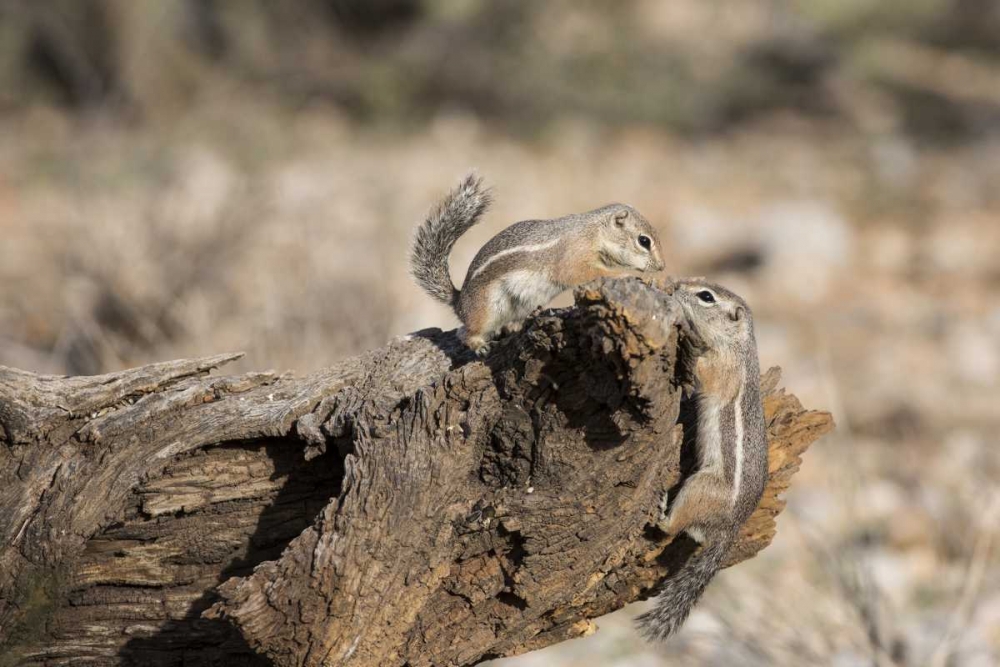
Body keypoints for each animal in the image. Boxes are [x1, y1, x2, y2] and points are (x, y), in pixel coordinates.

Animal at [410, 173, 665, 354]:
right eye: (644, 241)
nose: (662, 267)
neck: (594, 232)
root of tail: (459, 301)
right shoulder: (573, 256)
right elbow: (583, 273)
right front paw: (624, 275)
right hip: (486, 308)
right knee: (464, 332)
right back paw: (479, 345)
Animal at [636, 279, 769, 642]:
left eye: (706, 297)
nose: (676, 285)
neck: (738, 346)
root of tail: (730, 529)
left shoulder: (721, 369)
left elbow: (703, 371)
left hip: (699, 487)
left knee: (671, 528)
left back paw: (660, 510)